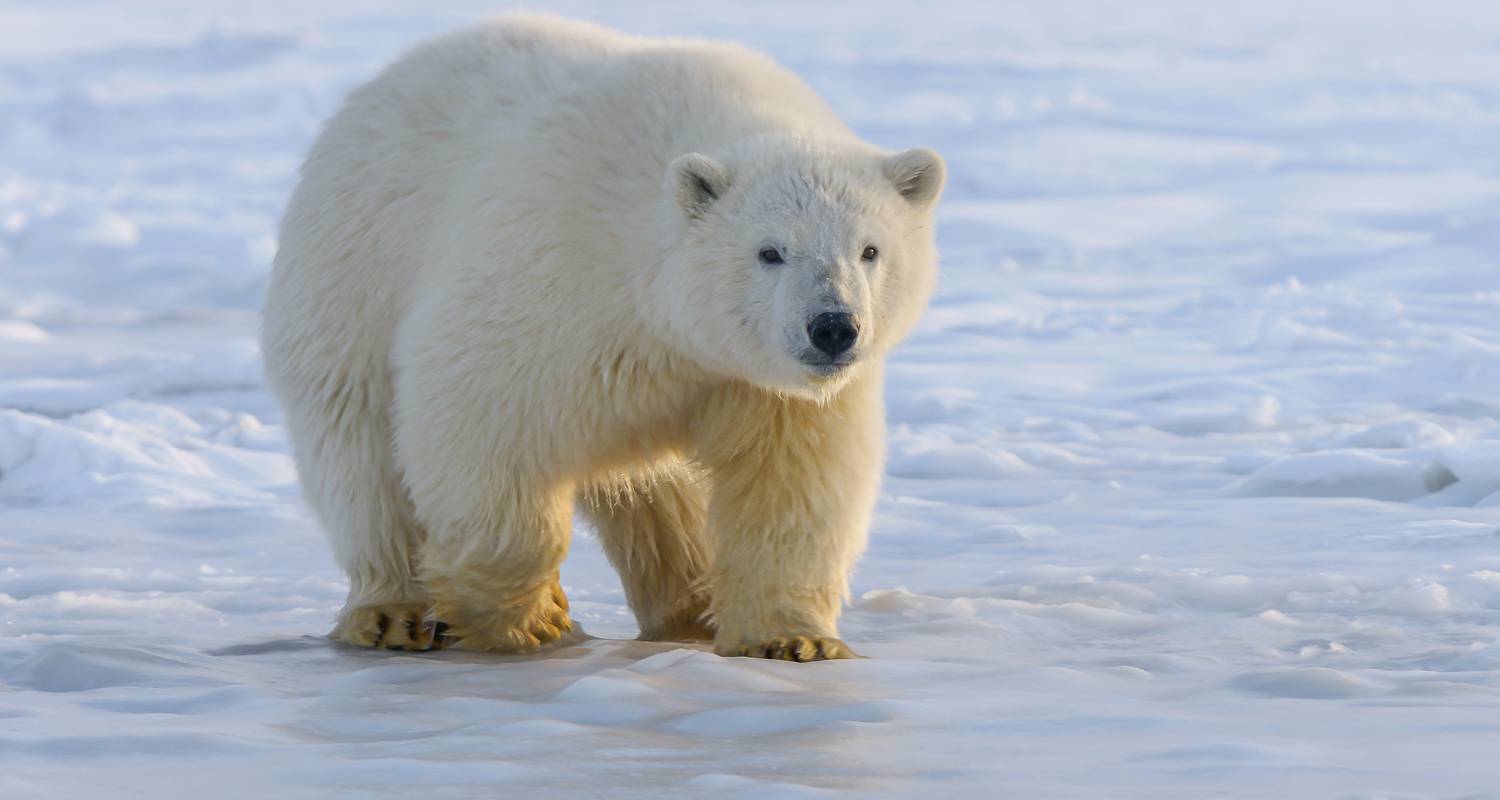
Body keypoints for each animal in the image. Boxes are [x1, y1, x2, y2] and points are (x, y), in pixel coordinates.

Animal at [258, 14, 936, 660]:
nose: (833, 327)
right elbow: (480, 417)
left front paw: (794, 640)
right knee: (361, 452)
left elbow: (790, 483)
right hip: (352, 278)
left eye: (870, 250)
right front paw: (526, 618)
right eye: (770, 251)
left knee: (659, 496)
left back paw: (688, 607)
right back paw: (391, 613)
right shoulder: (551, 275)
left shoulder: (758, 384)